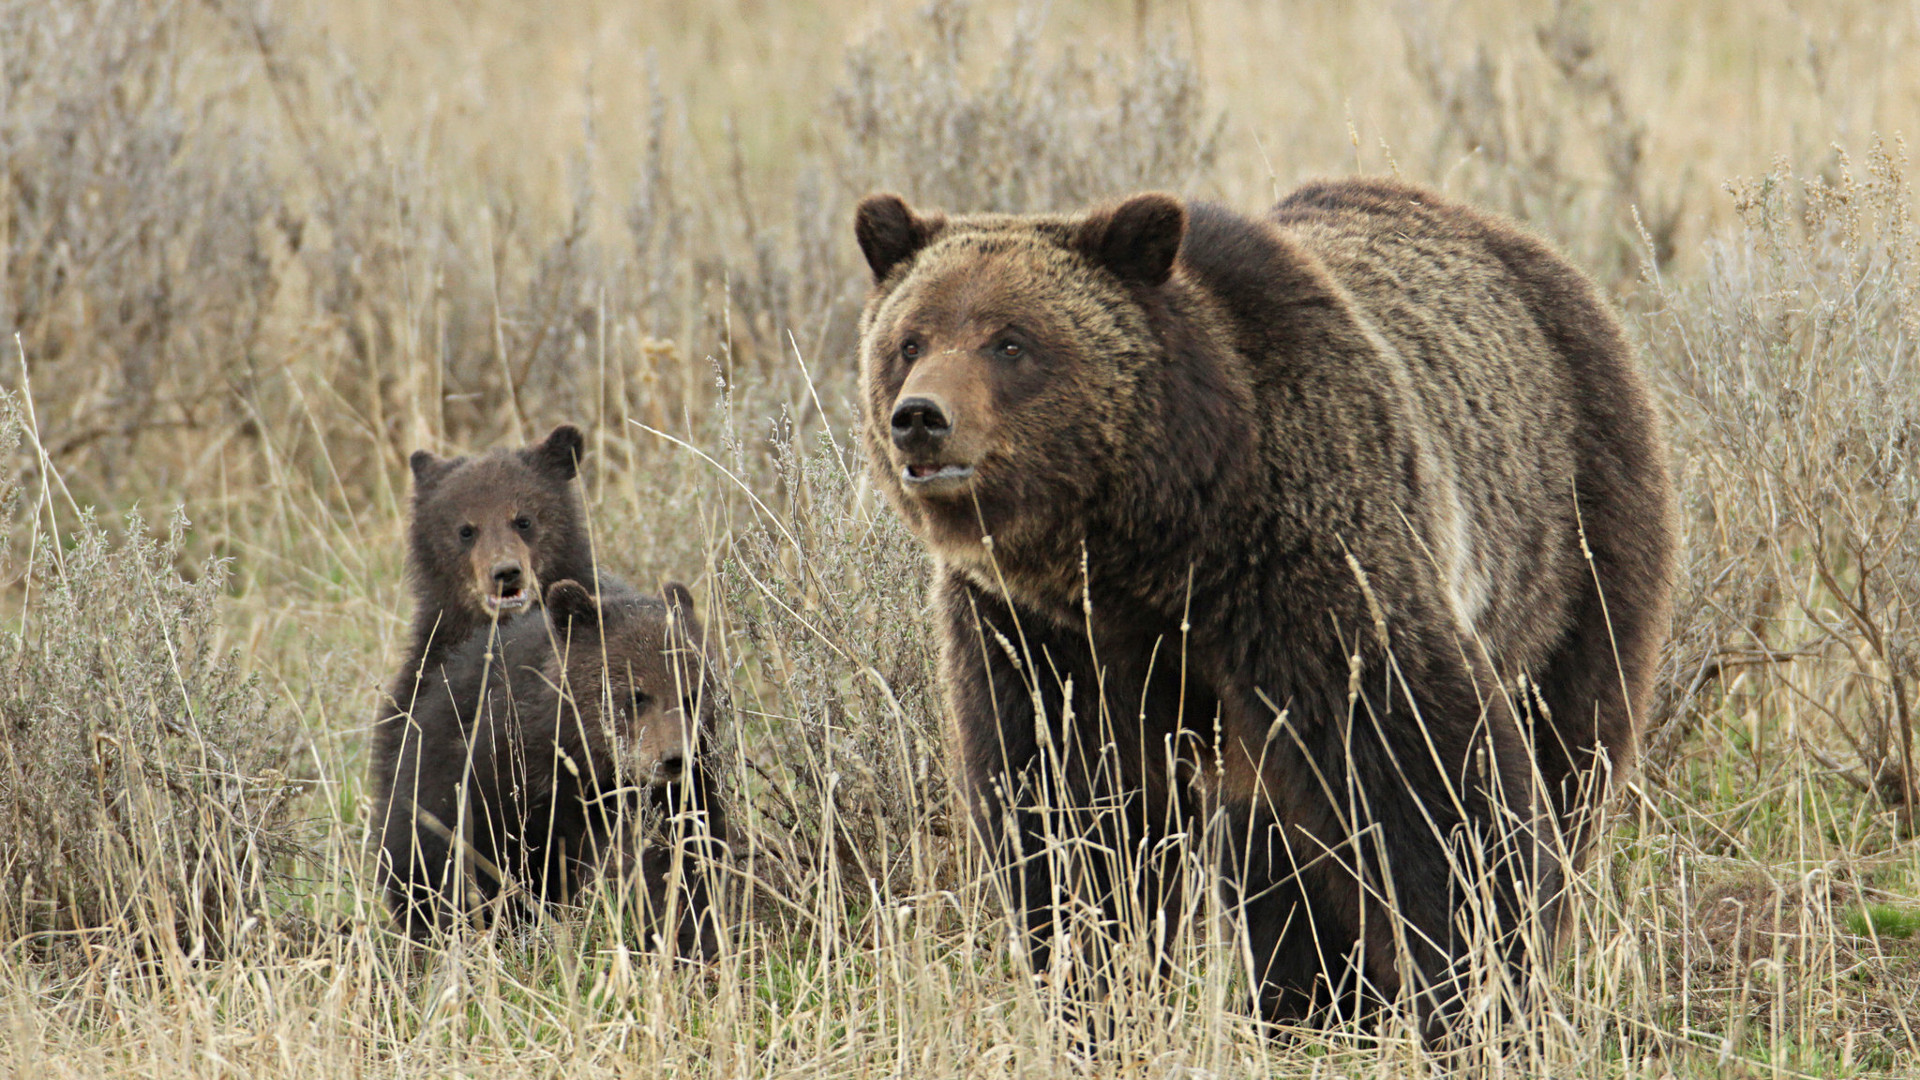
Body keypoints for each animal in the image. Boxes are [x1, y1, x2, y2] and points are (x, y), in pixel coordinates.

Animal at [372, 572, 725, 949]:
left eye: (692, 694)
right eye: (636, 695)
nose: (674, 758)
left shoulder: (679, 797)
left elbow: (682, 861)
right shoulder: (503, 779)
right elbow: (481, 861)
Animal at [856, 180, 1681, 1030]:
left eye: (1011, 342)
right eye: (911, 341)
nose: (921, 417)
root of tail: (1516, 242)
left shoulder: (1305, 564)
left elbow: (1431, 778)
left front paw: (1481, 989)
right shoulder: (1037, 633)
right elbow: (1070, 813)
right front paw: (1093, 991)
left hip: (1571, 538)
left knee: (1571, 743)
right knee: (1276, 855)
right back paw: (1306, 999)